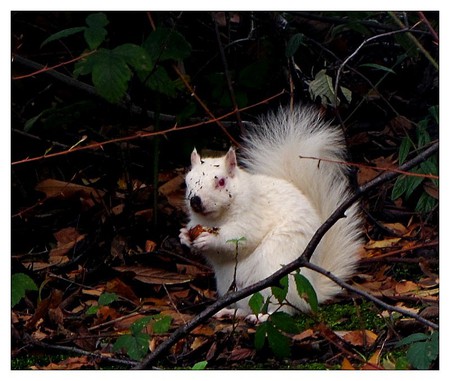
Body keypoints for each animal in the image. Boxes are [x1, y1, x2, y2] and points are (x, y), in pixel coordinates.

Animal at [179, 104, 362, 318]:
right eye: (187, 182)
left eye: (221, 181)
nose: (195, 201)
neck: (216, 219)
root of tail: (312, 293)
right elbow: (215, 254)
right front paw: (184, 236)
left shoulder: (253, 215)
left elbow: (240, 238)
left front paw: (209, 239)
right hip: (231, 286)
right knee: (248, 307)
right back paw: (231, 312)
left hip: (279, 276)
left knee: (285, 308)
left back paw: (265, 316)